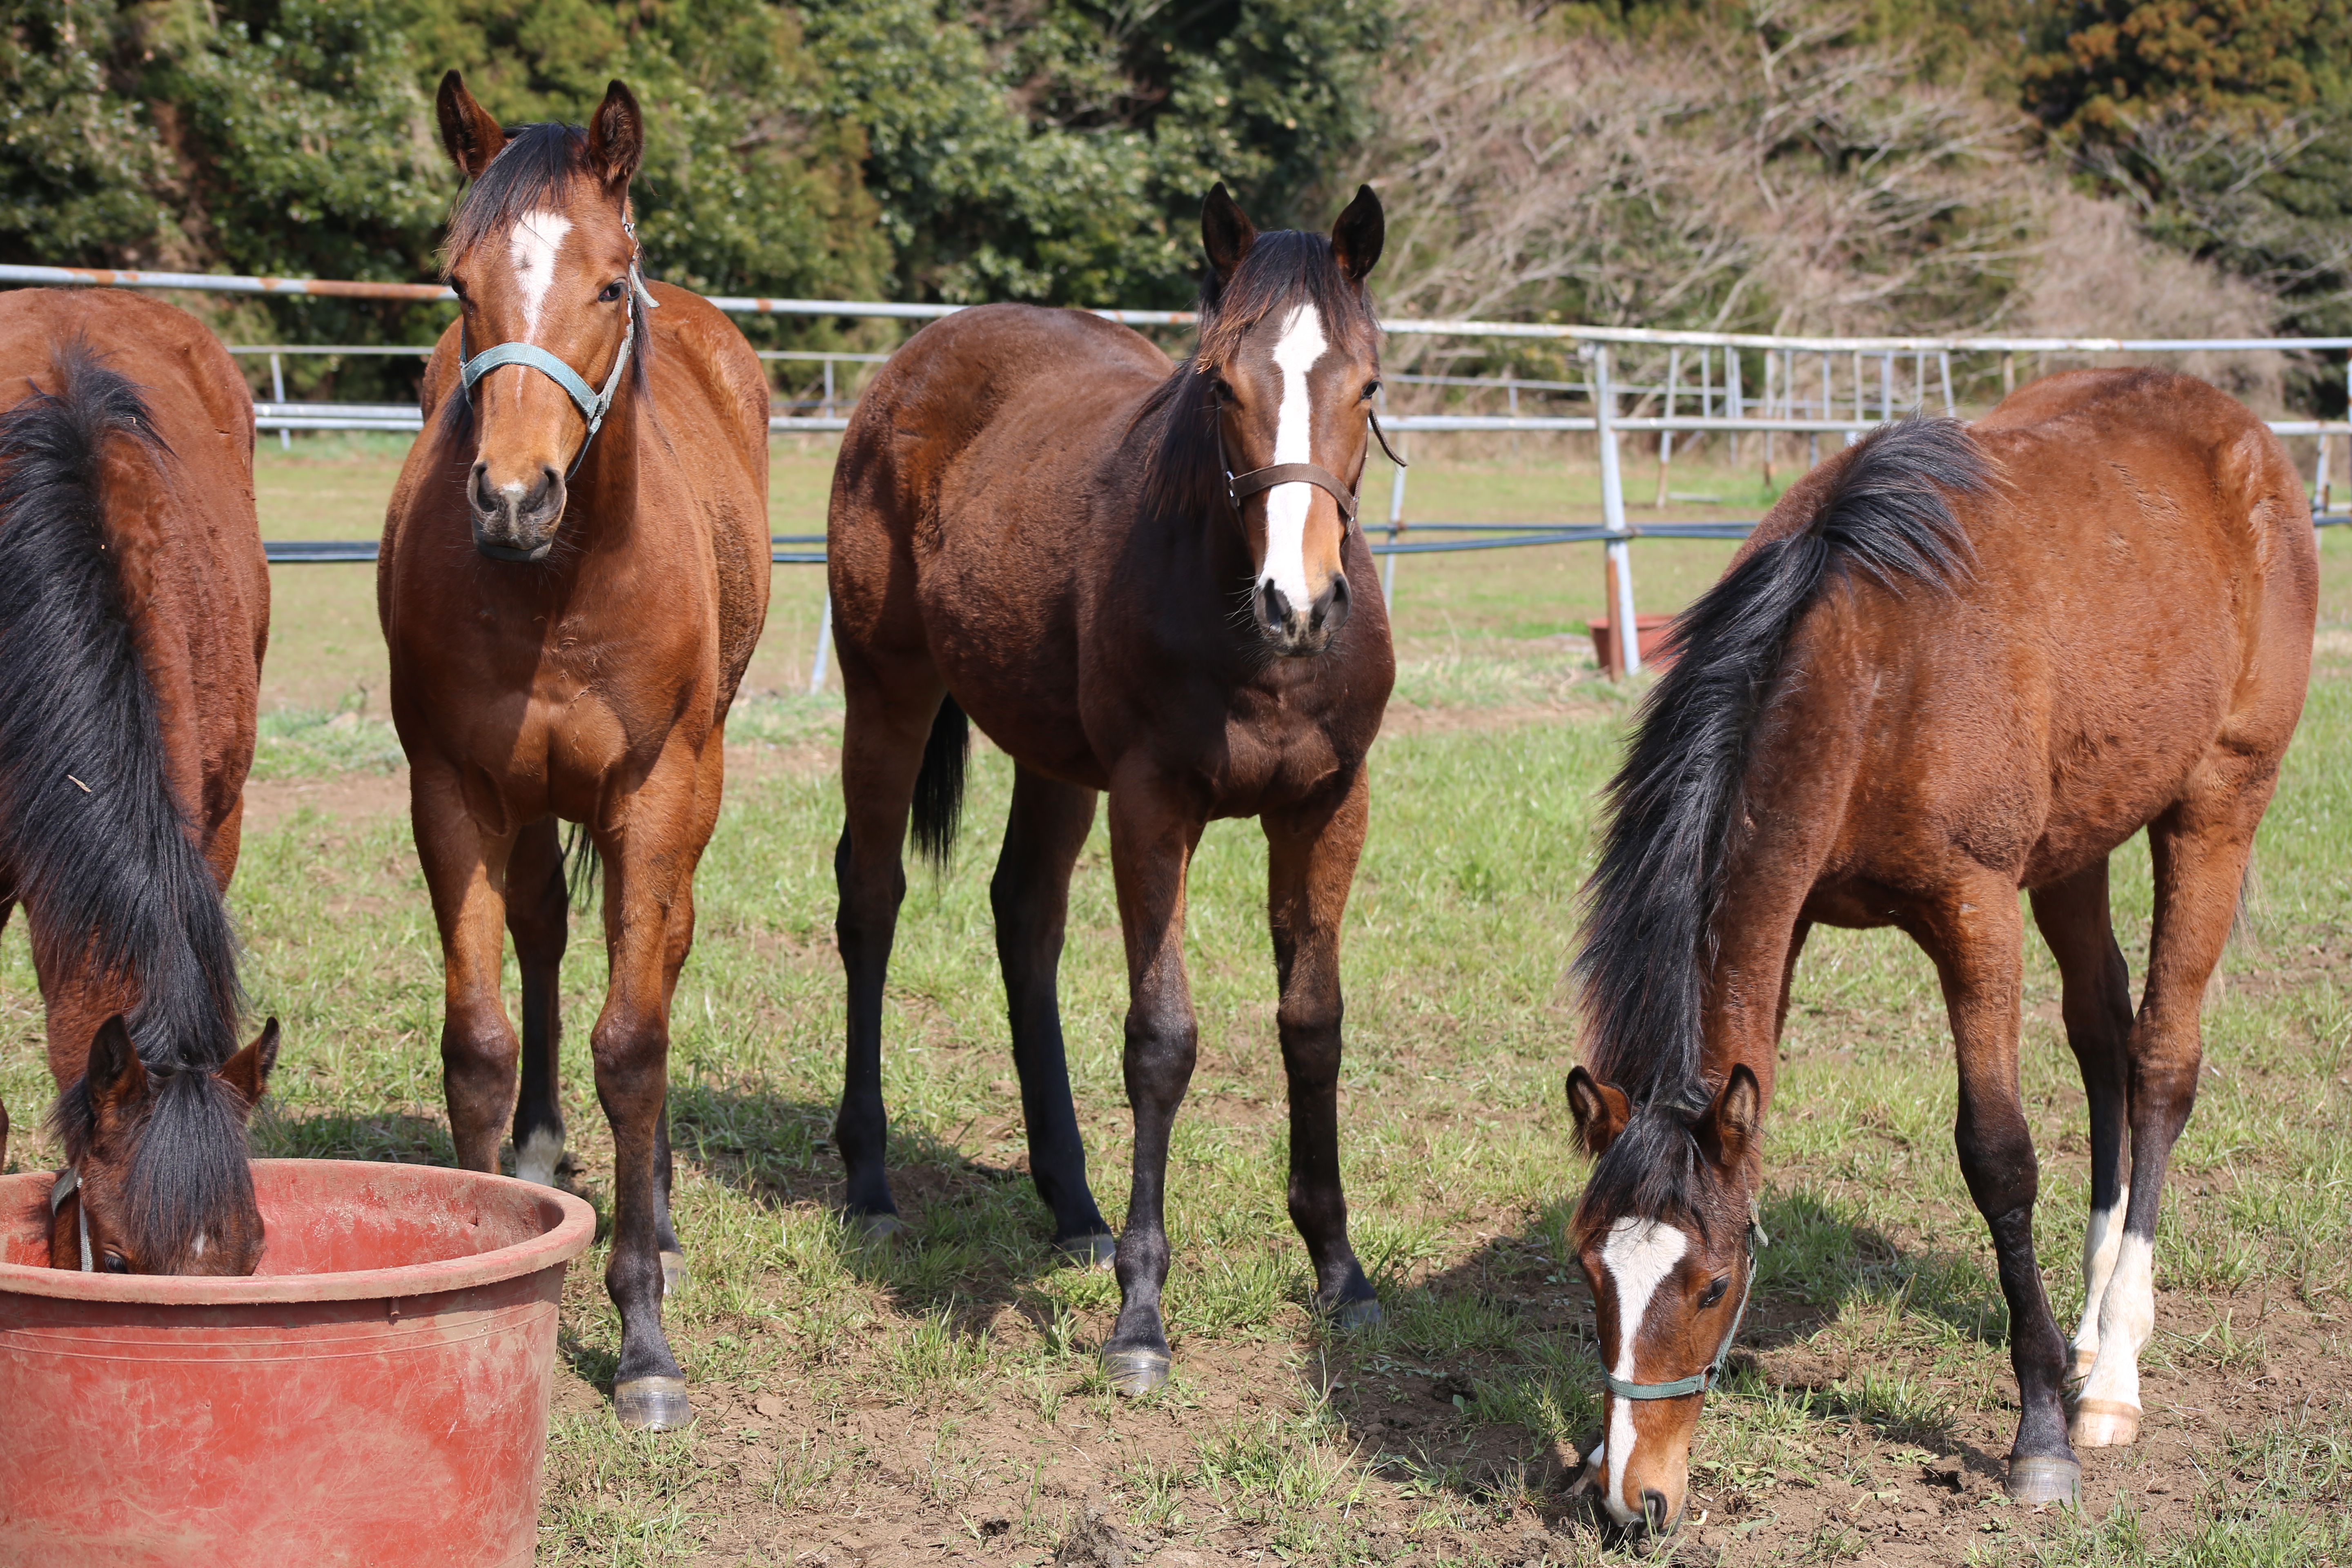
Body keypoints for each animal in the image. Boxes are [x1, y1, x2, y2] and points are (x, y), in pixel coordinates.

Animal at [381, 76, 771, 1439]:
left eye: (609, 286)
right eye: (459, 287)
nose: (512, 498)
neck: (562, 583)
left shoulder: (656, 795)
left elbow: (635, 1042)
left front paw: (645, 1335)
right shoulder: (452, 788)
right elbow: (481, 1039)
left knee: (653, 955)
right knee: (548, 934)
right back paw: (546, 1150)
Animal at [833, 187, 1392, 1401]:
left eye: (1368, 385)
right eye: (1223, 385)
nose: (1298, 602)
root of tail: (917, 360)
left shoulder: (1327, 807)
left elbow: (1313, 1023)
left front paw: (1339, 1268)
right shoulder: (1153, 806)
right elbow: (1162, 1038)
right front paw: (1141, 1317)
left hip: (1051, 759)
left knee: (1023, 913)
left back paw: (1073, 1203)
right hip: (886, 691)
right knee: (871, 901)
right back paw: (869, 1182)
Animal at [1561, 374, 2314, 1542]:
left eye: (1713, 1285)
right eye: (1590, 1273)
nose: (1636, 1500)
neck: (1876, 658)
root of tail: (2239, 434)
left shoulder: (1974, 911)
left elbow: (1997, 1156)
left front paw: (2041, 1434)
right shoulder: (1789, 919)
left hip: (2217, 804)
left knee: (2159, 1060)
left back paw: (2112, 1370)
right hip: (2075, 844)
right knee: (2101, 1036)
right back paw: (2088, 1325)